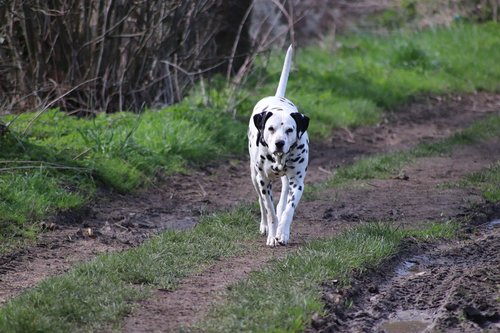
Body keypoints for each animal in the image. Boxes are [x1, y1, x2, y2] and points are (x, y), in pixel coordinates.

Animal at [247, 45, 308, 245]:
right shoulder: (263, 181)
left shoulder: (297, 181)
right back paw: (265, 226)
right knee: (262, 203)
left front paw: (282, 233)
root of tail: (276, 96)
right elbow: (270, 210)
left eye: (290, 130)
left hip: (286, 179)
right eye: (271, 128)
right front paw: (273, 234)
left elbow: (288, 209)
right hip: (254, 176)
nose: (279, 143)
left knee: (282, 199)